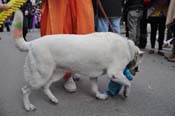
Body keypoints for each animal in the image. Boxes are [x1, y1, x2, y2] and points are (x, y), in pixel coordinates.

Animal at [12, 10, 144, 111]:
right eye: (137, 65)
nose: (137, 71)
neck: (127, 46)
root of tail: (32, 43)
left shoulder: (94, 75)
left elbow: (94, 88)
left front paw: (99, 96)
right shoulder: (114, 73)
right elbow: (128, 82)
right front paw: (126, 93)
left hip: (55, 74)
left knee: (45, 87)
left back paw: (52, 99)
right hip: (41, 76)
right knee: (25, 90)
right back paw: (28, 106)